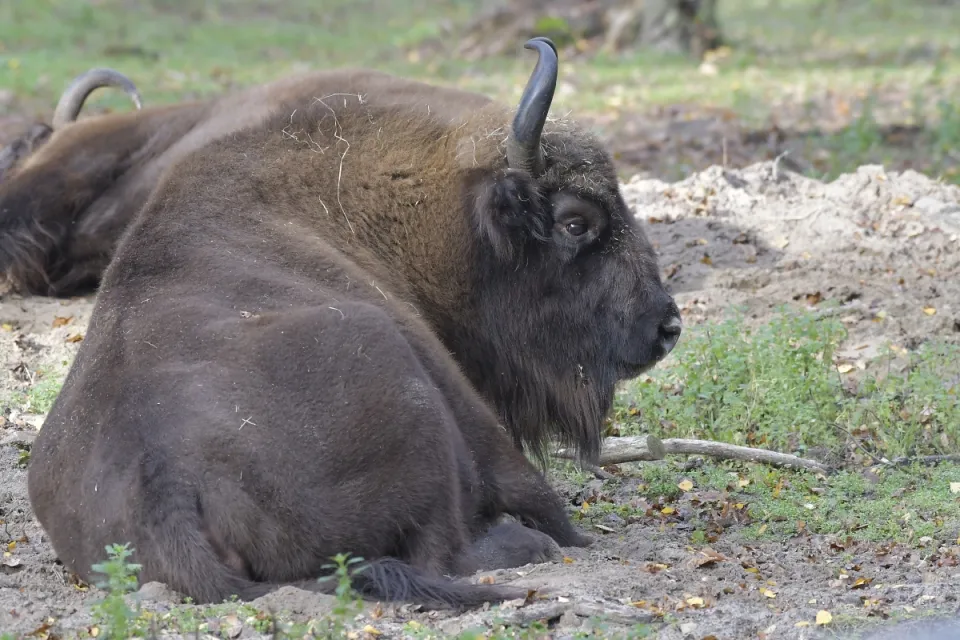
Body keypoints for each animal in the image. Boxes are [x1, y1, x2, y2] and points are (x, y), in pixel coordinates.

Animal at [26, 37, 683, 608]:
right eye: (575, 222)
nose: (667, 326)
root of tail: (165, 486)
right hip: (392, 365)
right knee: (451, 549)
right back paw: (528, 543)